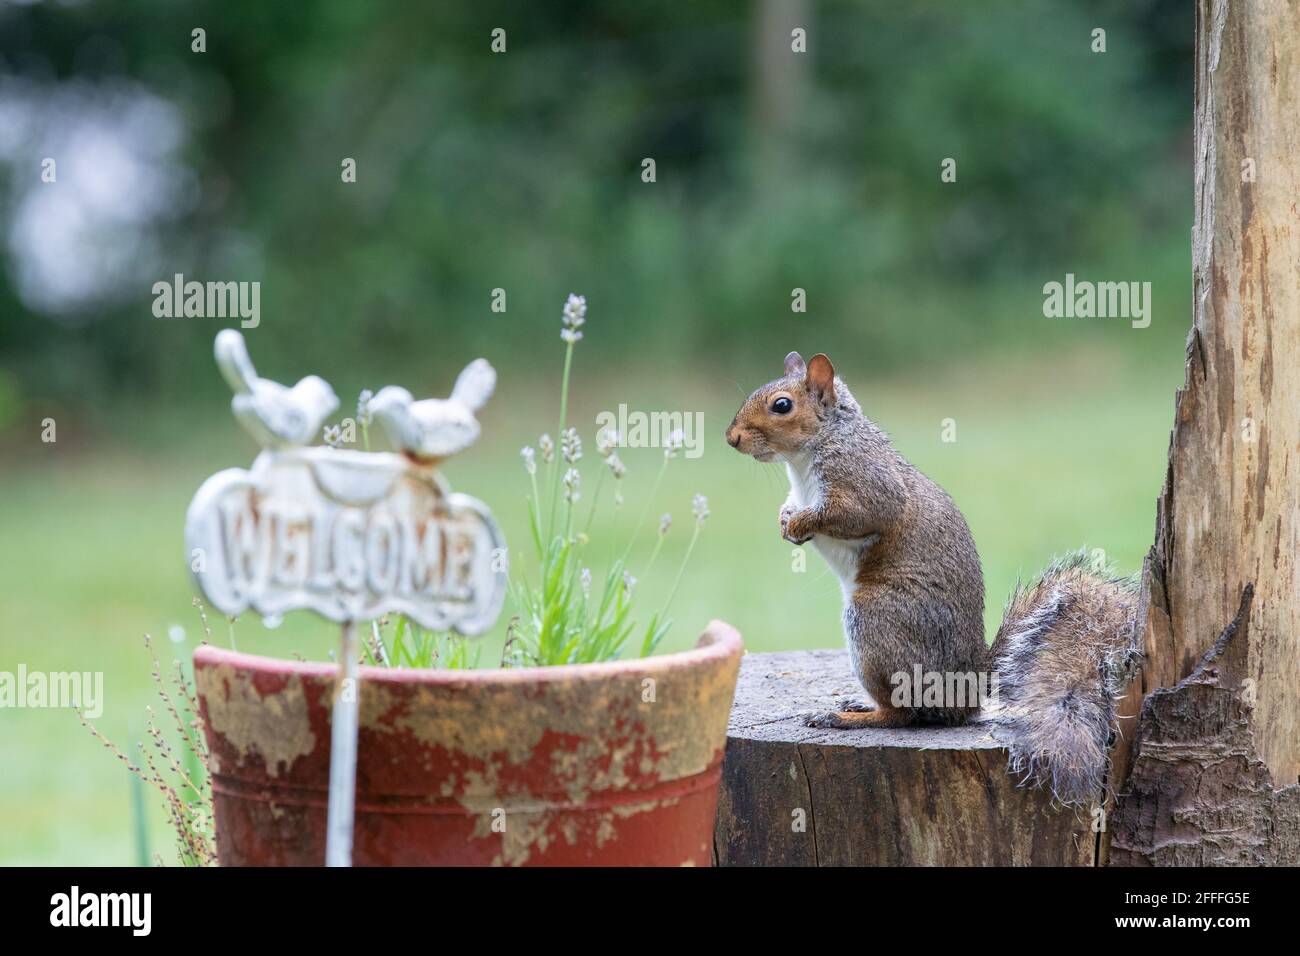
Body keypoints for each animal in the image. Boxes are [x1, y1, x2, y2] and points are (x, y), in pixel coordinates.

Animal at [728, 351, 1144, 806]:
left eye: (781, 405)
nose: (731, 438)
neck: (809, 455)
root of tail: (969, 688)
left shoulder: (866, 483)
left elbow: (858, 514)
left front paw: (802, 522)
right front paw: (786, 520)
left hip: (877, 622)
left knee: (902, 714)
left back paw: (846, 717)